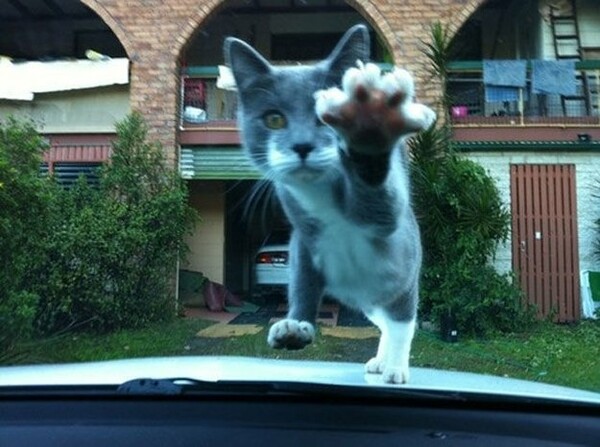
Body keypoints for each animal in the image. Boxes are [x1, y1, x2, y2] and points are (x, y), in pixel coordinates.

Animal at [225, 24, 436, 384]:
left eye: (325, 118)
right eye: (274, 119)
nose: (301, 146)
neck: (320, 193)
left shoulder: (391, 226)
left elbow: (381, 207)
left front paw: (370, 127)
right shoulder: (304, 238)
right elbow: (302, 280)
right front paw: (294, 326)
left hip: (402, 279)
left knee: (401, 323)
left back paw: (394, 367)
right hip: (370, 300)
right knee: (383, 323)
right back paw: (378, 361)